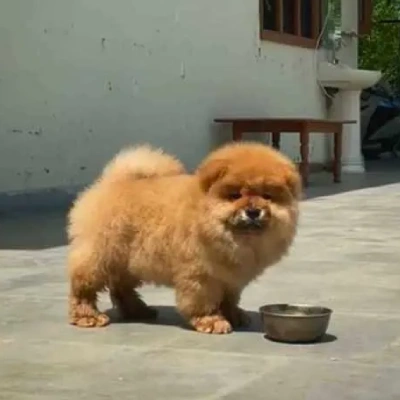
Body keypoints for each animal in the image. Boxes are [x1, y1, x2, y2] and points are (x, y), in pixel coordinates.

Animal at [67, 141, 302, 334]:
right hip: (101, 254)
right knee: (84, 285)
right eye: (235, 195)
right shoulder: (200, 274)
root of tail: (110, 182)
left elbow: (229, 298)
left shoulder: (230, 276)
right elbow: (202, 301)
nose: (253, 211)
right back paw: (88, 316)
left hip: (129, 260)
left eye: (267, 196)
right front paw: (212, 321)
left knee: (121, 287)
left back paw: (138, 311)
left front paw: (234, 314)